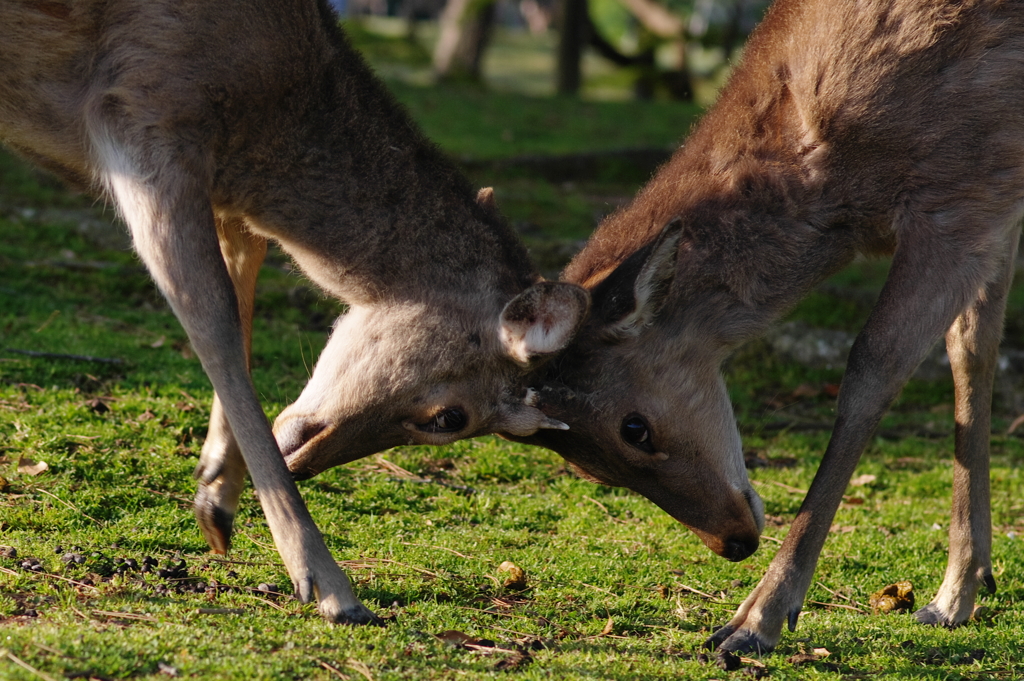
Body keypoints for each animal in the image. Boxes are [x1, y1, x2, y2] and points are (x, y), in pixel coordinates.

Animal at [0, 0, 589, 622]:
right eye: (450, 418)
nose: (301, 462)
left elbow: (243, 277)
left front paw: (216, 494)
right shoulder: (145, 113)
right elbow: (211, 315)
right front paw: (328, 583)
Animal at [512, 0, 1024, 655]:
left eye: (634, 428)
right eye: (584, 467)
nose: (734, 543)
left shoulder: (961, 188)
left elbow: (872, 371)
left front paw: (756, 619)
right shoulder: (994, 201)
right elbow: (973, 351)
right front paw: (962, 588)